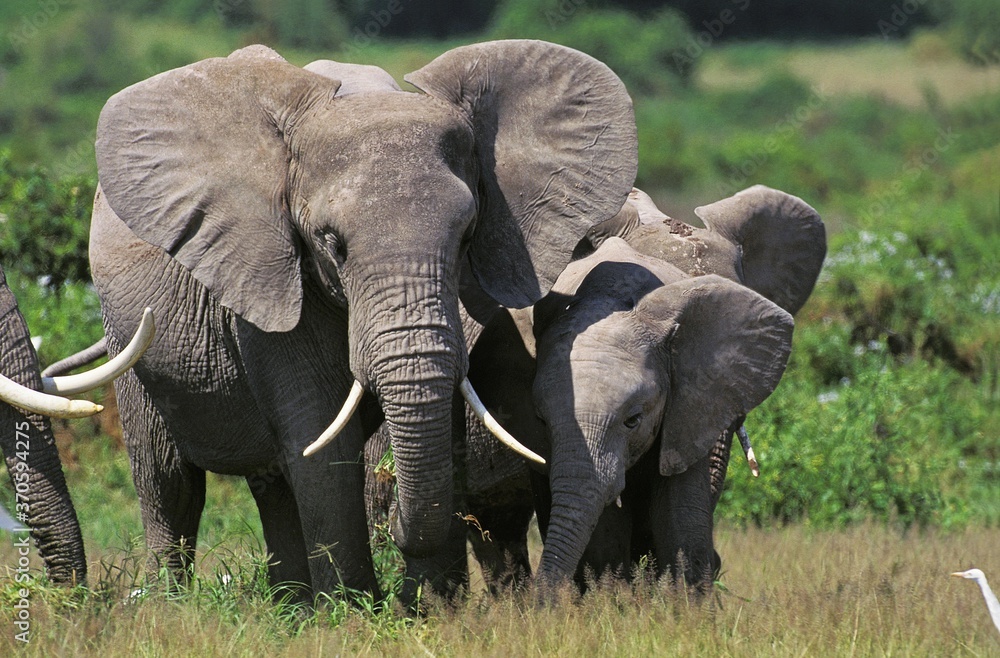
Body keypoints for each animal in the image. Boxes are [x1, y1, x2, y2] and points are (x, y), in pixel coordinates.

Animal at [86, 38, 632, 596]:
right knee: (169, 482)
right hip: (131, 341)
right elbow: (325, 448)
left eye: (466, 236)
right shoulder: (276, 280)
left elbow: (442, 426)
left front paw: (432, 605)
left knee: (271, 484)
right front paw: (352, 609)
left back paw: (291, 606)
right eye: (333, 244)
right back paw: (174, 600)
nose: (393, 522)